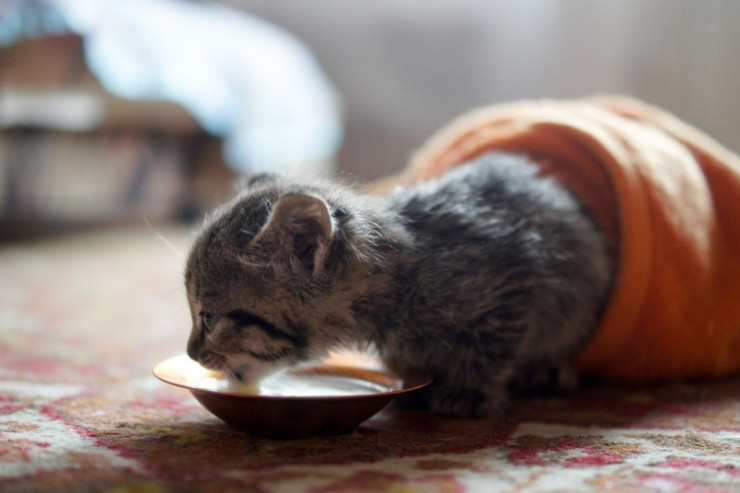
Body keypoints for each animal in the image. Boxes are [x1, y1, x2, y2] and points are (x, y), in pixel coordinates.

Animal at [184, 152, 612, 418]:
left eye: (210, 317)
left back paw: (546, 371)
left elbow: (490, 346)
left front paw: (470, 390)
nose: (190, 353)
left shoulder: (517, 281)